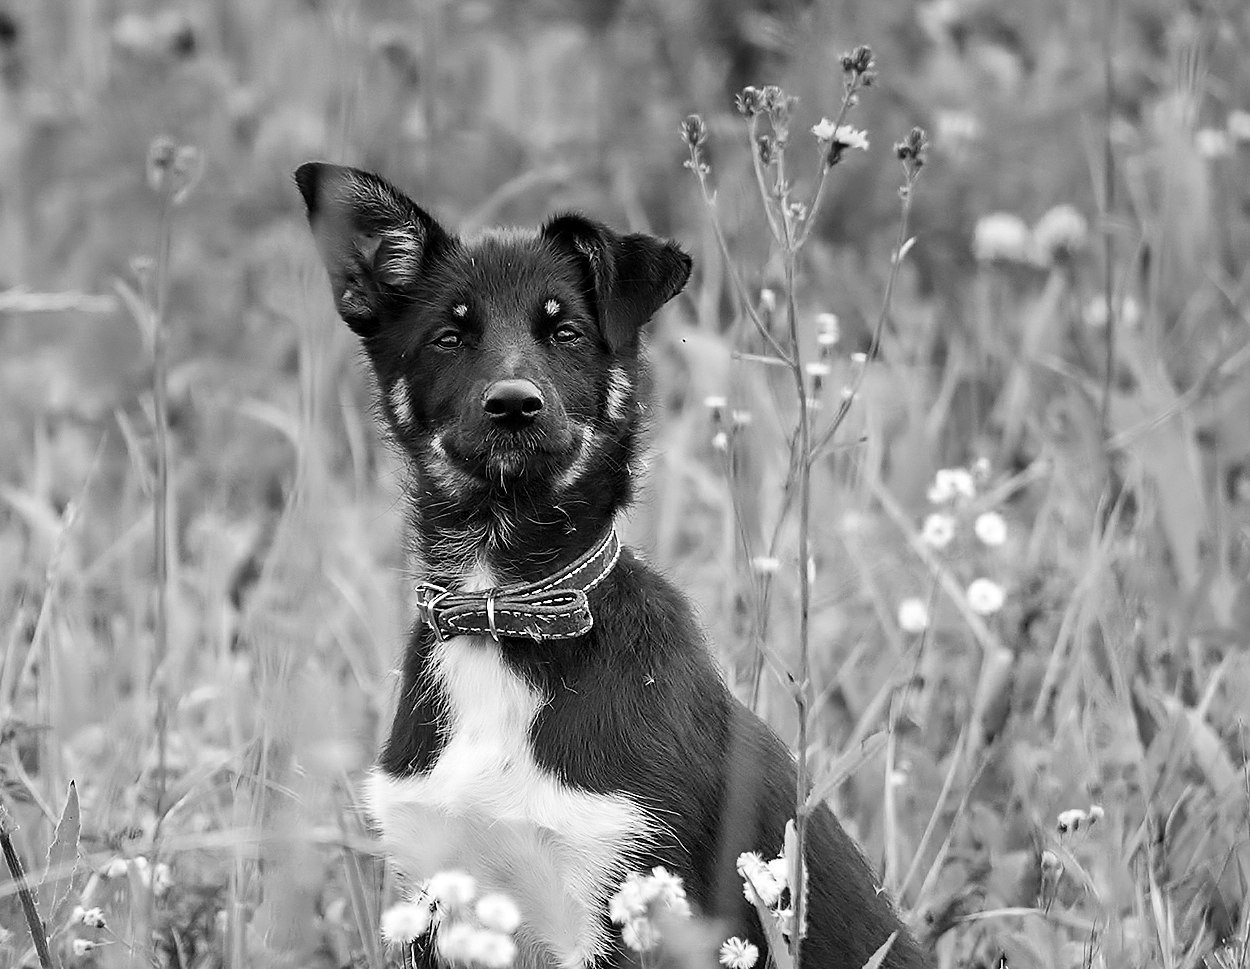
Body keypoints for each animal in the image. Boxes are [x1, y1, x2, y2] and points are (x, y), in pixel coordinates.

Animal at [295, 165, 930, 969]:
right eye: (448, 335)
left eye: (566, 331)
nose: (514, 405)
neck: (507, 612)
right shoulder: (430, 898)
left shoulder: (625, 892)